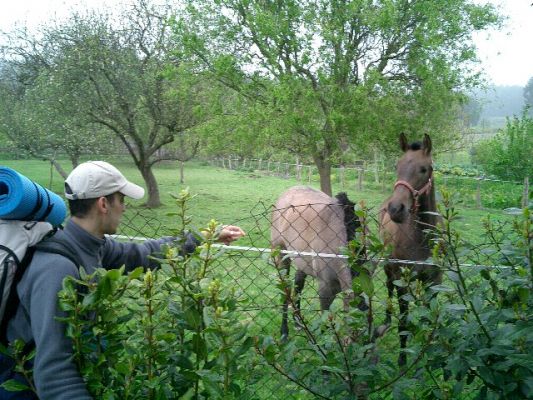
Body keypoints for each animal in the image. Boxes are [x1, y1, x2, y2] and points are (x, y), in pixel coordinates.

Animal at [270, 186, 362, 340]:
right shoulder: (325, 289)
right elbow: (325, 320)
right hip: (282, 257)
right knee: (286, 289)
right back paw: (284, 332)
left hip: (302, 262)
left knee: (298, 285)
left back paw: (297, 322)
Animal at [380, 134, 442, 366]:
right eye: (396, 166)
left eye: (424, 169)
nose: (395, 209)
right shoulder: (402, 280)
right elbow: (404, 322)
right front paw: (402, 360)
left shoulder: (435, 279)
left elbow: (430, 316)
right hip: (389, 268)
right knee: (388, 287)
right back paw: (386, 319)